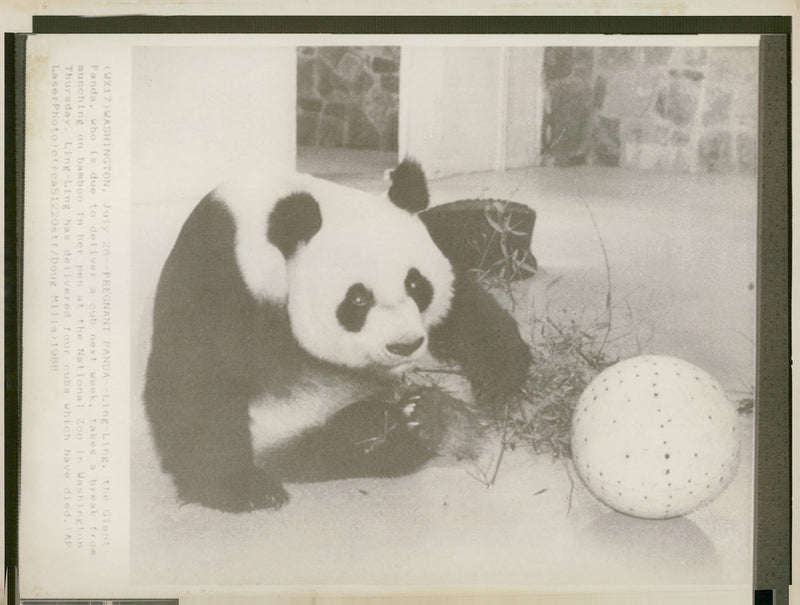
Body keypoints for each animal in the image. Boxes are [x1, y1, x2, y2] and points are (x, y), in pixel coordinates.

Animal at [144, 159, 532, 510]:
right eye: (358, 298)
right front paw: (243, 489)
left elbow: (462, 303)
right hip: (287, 425)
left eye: (416, 284)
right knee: (345, 445)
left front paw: (499, 375)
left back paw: (427, 418)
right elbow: (195, 376)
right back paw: (414, 424)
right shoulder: (218, 271)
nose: (404, 345)